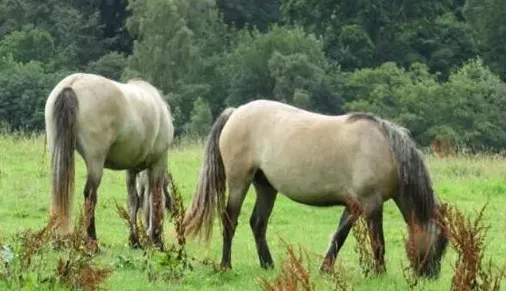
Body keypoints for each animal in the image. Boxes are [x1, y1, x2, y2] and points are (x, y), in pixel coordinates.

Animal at [182, 101, 446, 280]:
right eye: (441, 243)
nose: (431, 276)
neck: (385, 150)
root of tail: (235, 112)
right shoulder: (371, 203)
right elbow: (377, 241)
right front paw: (379, 273)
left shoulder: (353, 205)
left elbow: (339, 236)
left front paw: (325, 270)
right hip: (239, 182)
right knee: (230, 221)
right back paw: (226, 265)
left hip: (266, 187)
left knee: (258, 223)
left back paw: (268, 265)